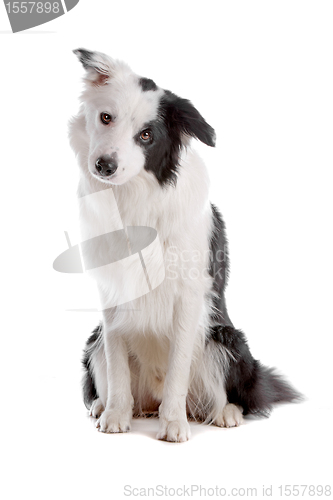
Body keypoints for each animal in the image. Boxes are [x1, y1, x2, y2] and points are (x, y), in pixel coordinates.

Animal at [69, 49, 298, 442]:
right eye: (105, 117)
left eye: (146, 135)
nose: (104, 165)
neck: (134, 199)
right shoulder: (112, 298)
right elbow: (116, 364)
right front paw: (116, 414)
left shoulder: (189, 297)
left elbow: (178, 366)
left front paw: (173, 423)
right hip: (94, 340)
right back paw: (111, 406)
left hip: (223, 339)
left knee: (238, 394)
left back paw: (223, 412)